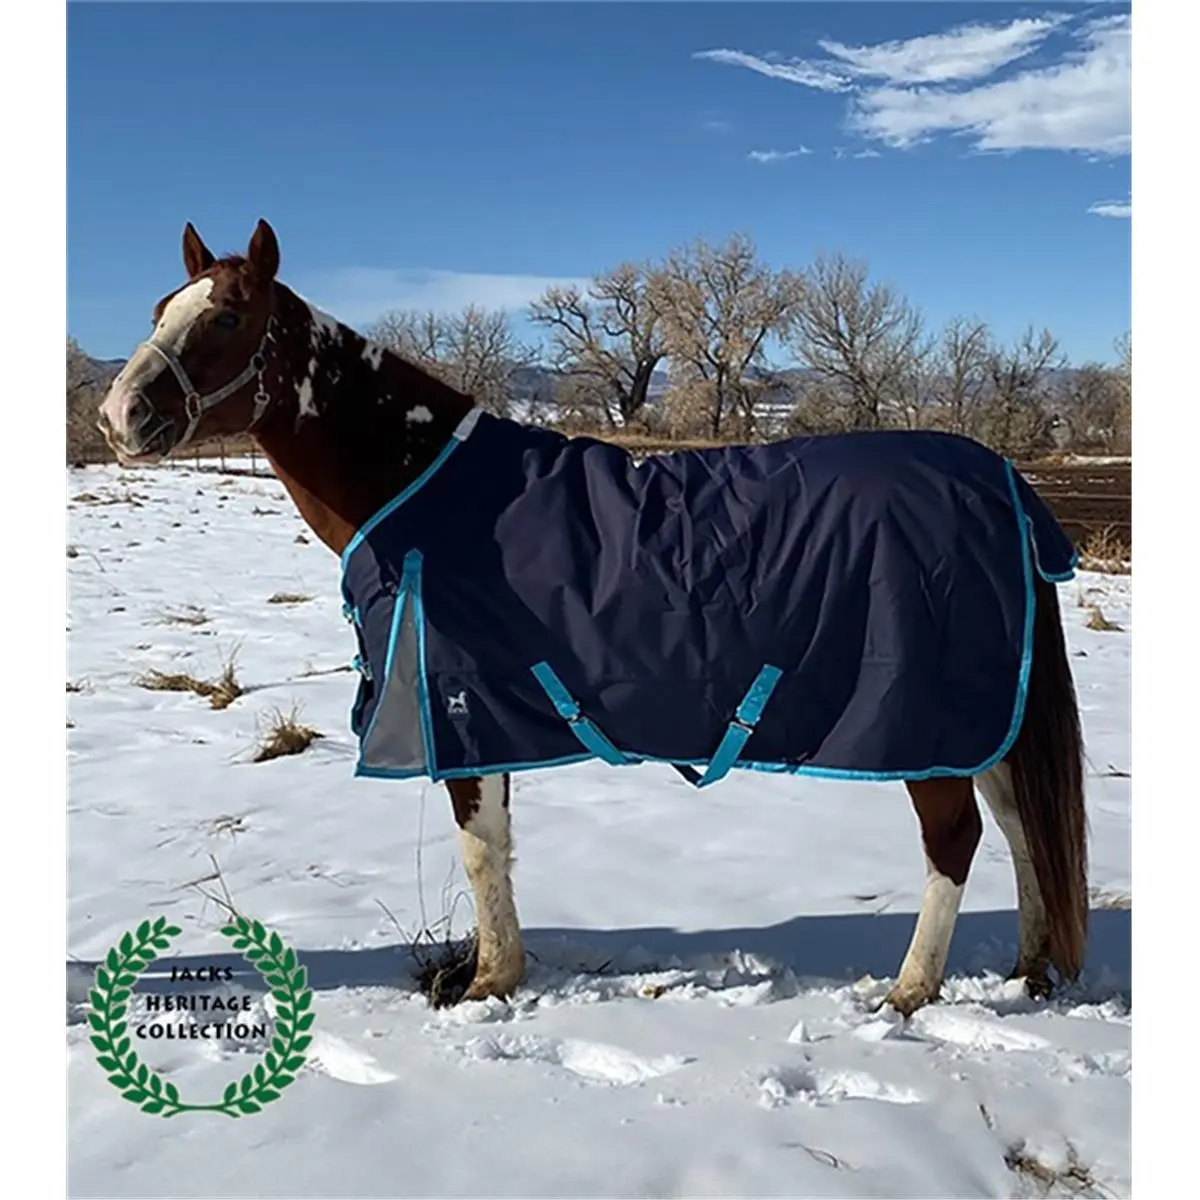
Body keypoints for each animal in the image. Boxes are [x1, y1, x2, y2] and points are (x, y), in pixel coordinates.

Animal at [97, 219, 1088, 1015]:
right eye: (159, 308)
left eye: (228, 317)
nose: (117, 413)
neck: (429, 491)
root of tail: (998, 484)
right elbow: (495, 847)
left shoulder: (463, 710)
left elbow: (479, 848)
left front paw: (488, 984)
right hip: (981, 718)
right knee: (1020, 830)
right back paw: (1029, 970)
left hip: (924, 720)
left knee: (957, 839)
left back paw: (910, 992)